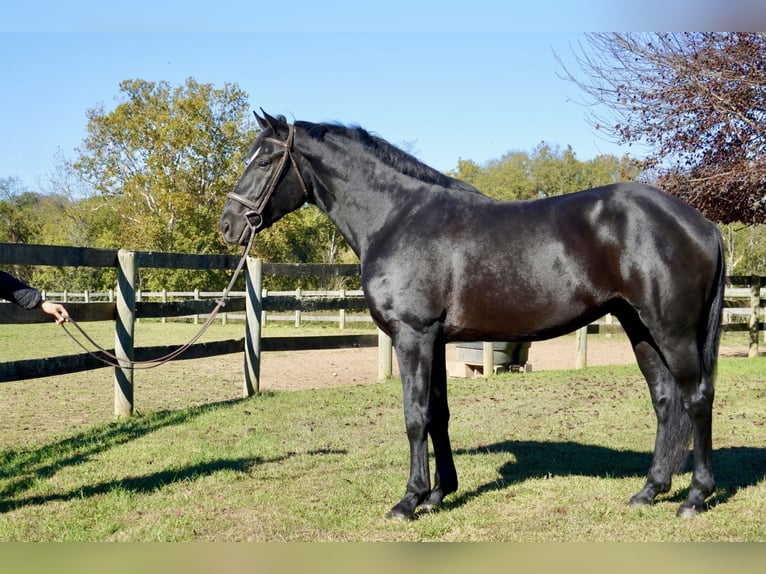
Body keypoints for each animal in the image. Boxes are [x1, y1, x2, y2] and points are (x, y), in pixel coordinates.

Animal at [220, 111, 725, 521]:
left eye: (264, 160)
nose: (228, 224)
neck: (397, 217)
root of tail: (702, 224)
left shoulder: (413, 336)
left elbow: (415, 416)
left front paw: (409, 501)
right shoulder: (437, 340)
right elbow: (438, 414)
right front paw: (438, 494)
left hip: (672, 330)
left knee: (697, 398)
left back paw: (695, 497)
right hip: (639, 327)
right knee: (666, 401)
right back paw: (649, 490)